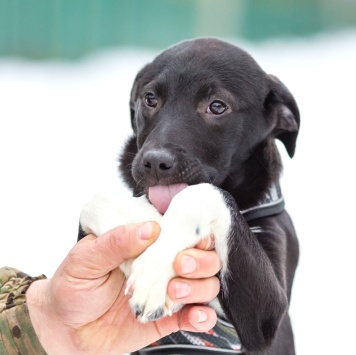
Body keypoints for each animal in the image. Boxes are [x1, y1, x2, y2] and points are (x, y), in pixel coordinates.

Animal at [78, 37, 300, 354]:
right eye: (150, 99)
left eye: (217, 106)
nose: (155, 162)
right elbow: (96, 199)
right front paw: (143, 226)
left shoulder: (268, 316)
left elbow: (205, 192)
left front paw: (154, 270)